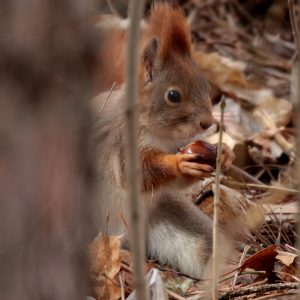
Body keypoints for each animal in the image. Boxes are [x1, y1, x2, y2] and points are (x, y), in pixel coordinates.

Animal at [91, 2, 234, 278]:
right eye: (173, 95)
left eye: (206, 86)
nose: (207, 123)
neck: (161, 136)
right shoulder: (121, 145)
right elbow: (139, 172)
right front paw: (179, 163)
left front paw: (225, 154)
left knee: (205, 245)